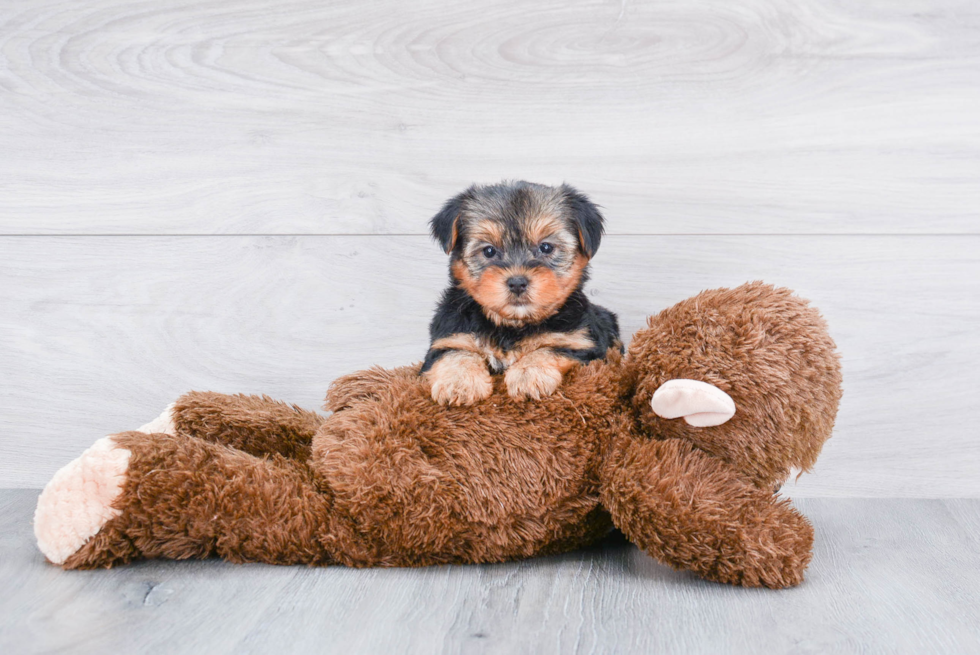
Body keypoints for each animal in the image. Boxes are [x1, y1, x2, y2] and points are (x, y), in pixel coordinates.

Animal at [420, 179, 620, 404]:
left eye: (546, 247)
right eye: (489, 250)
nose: (517, 283)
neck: (512, 324)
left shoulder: (582, 344)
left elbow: (548, 349)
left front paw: (528, 375)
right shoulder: (449, 337)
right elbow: (455, 353)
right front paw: (459, 383)